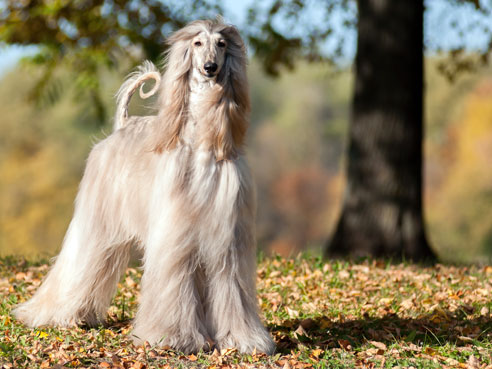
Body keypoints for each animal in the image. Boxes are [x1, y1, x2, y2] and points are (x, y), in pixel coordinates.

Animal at [13, 18, 274, 356]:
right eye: (197, 44)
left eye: (222, 44)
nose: (210, 68)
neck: (202, 141)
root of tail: (124, 125)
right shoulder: (175, 234)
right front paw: (172, 337)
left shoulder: (226, 239)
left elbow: (231, 288)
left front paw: (241, 339)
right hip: (97, 219)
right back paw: (52, 314)